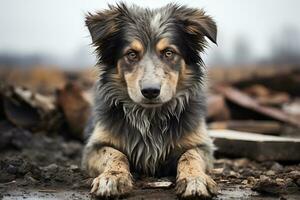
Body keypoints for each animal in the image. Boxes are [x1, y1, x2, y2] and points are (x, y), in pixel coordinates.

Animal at [82, 2, 218, 198]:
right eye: (131, 54)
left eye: (169, 52)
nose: (151, 91)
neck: (151, 116)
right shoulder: (94, 147)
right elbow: (115, 154)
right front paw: (112, 177)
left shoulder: (202, 145)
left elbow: (190, 155)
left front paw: (195, 179)